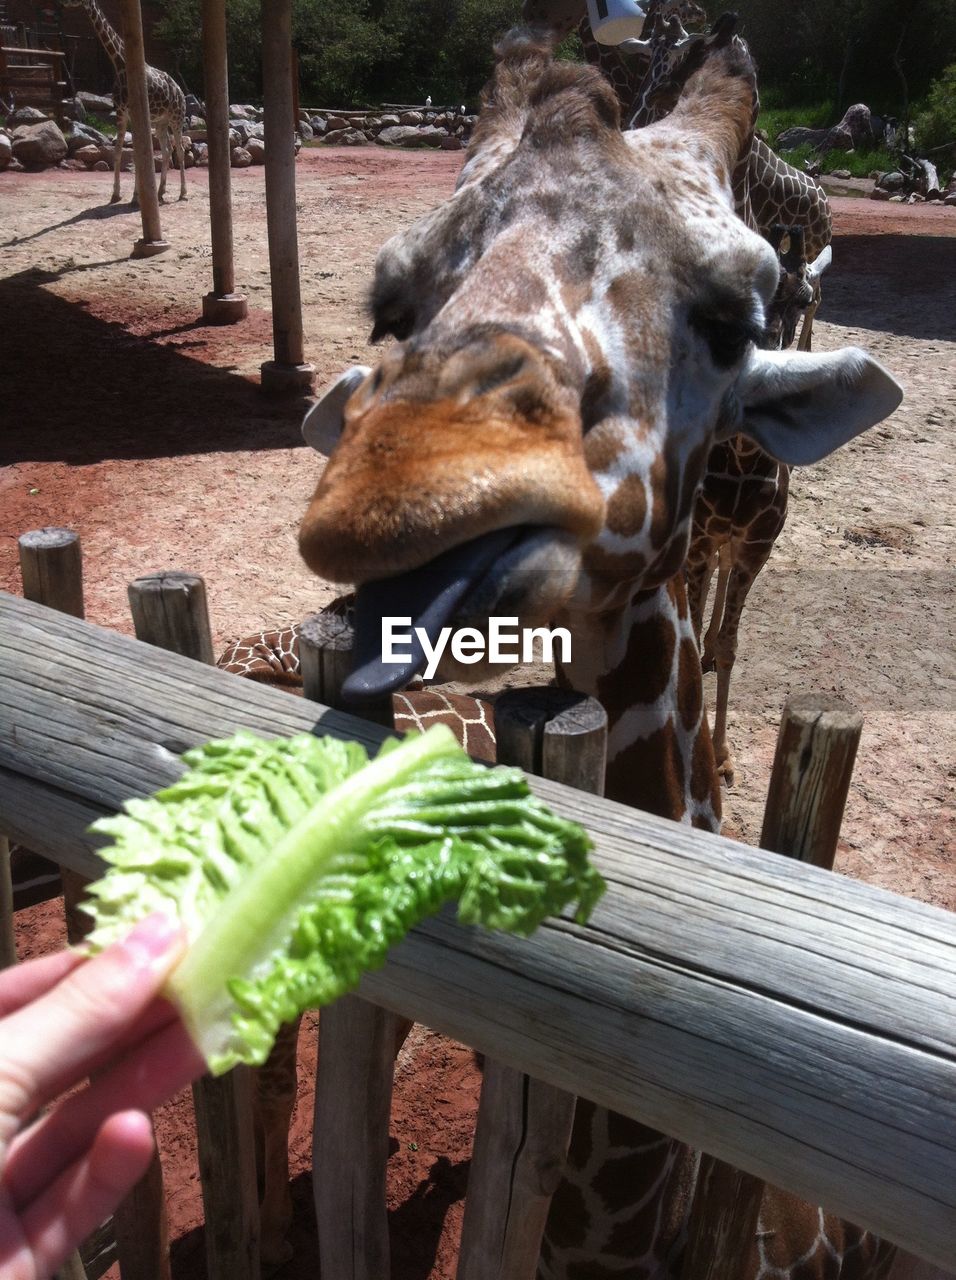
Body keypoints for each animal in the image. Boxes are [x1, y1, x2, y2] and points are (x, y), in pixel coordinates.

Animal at [63, 0, 186, 202]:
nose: (63, 3)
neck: (120, 64)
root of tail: (181, 92)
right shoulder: (121, 112)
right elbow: (119, 151)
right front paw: (117, 193)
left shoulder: (131, 113)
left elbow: (137, 154)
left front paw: (135, 196)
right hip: (161, 122)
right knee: (167, 150)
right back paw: (160, 192)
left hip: (177, 117)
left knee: (181, 150)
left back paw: (183, 193)